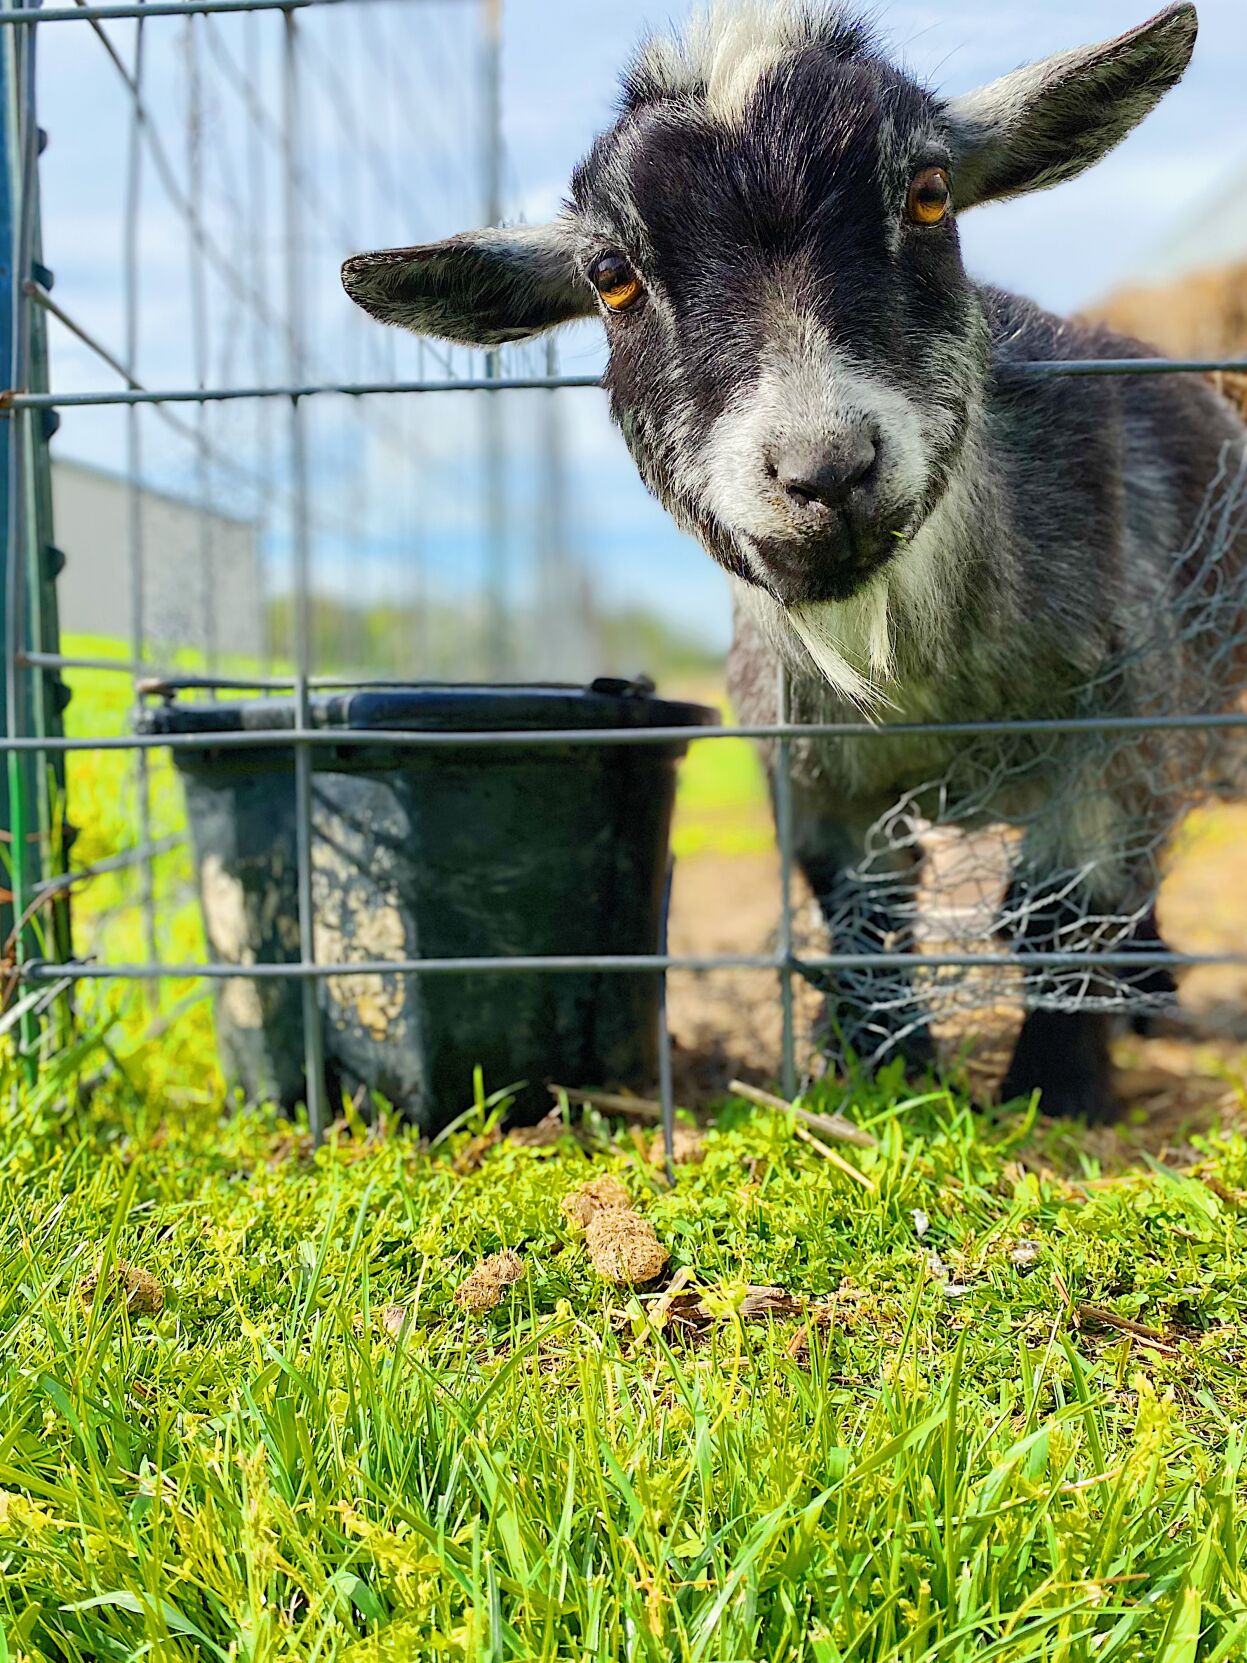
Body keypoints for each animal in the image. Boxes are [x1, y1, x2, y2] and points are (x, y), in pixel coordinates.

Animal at [343, 0, 1247, 1122]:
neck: (925, 689)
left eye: (929, 193)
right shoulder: (811, 777)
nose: (825, 471)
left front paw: (1057, 1090)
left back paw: (1149, 997)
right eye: (611, 276)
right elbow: (863, 914)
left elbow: (1061, 909)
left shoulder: (1116, 737)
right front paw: (878, 1066)